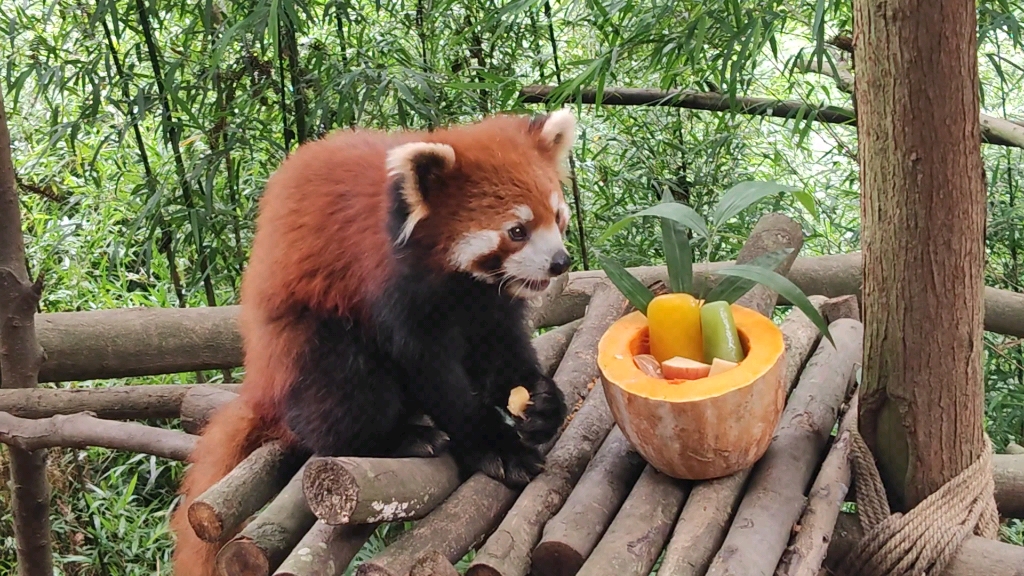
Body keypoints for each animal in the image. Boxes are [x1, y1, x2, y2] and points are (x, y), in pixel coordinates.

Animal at [172, 109, 581, 569]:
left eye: (558, 217)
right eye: (517, 231)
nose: (560, 262)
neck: (458, 283)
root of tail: (263, 383)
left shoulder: (486, 303)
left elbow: (501, 349)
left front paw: (542, 402)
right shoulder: (390, 285)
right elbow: (432, 372)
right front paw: (494, 445)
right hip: (305, 342)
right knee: (342, 387)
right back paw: (399, 437)